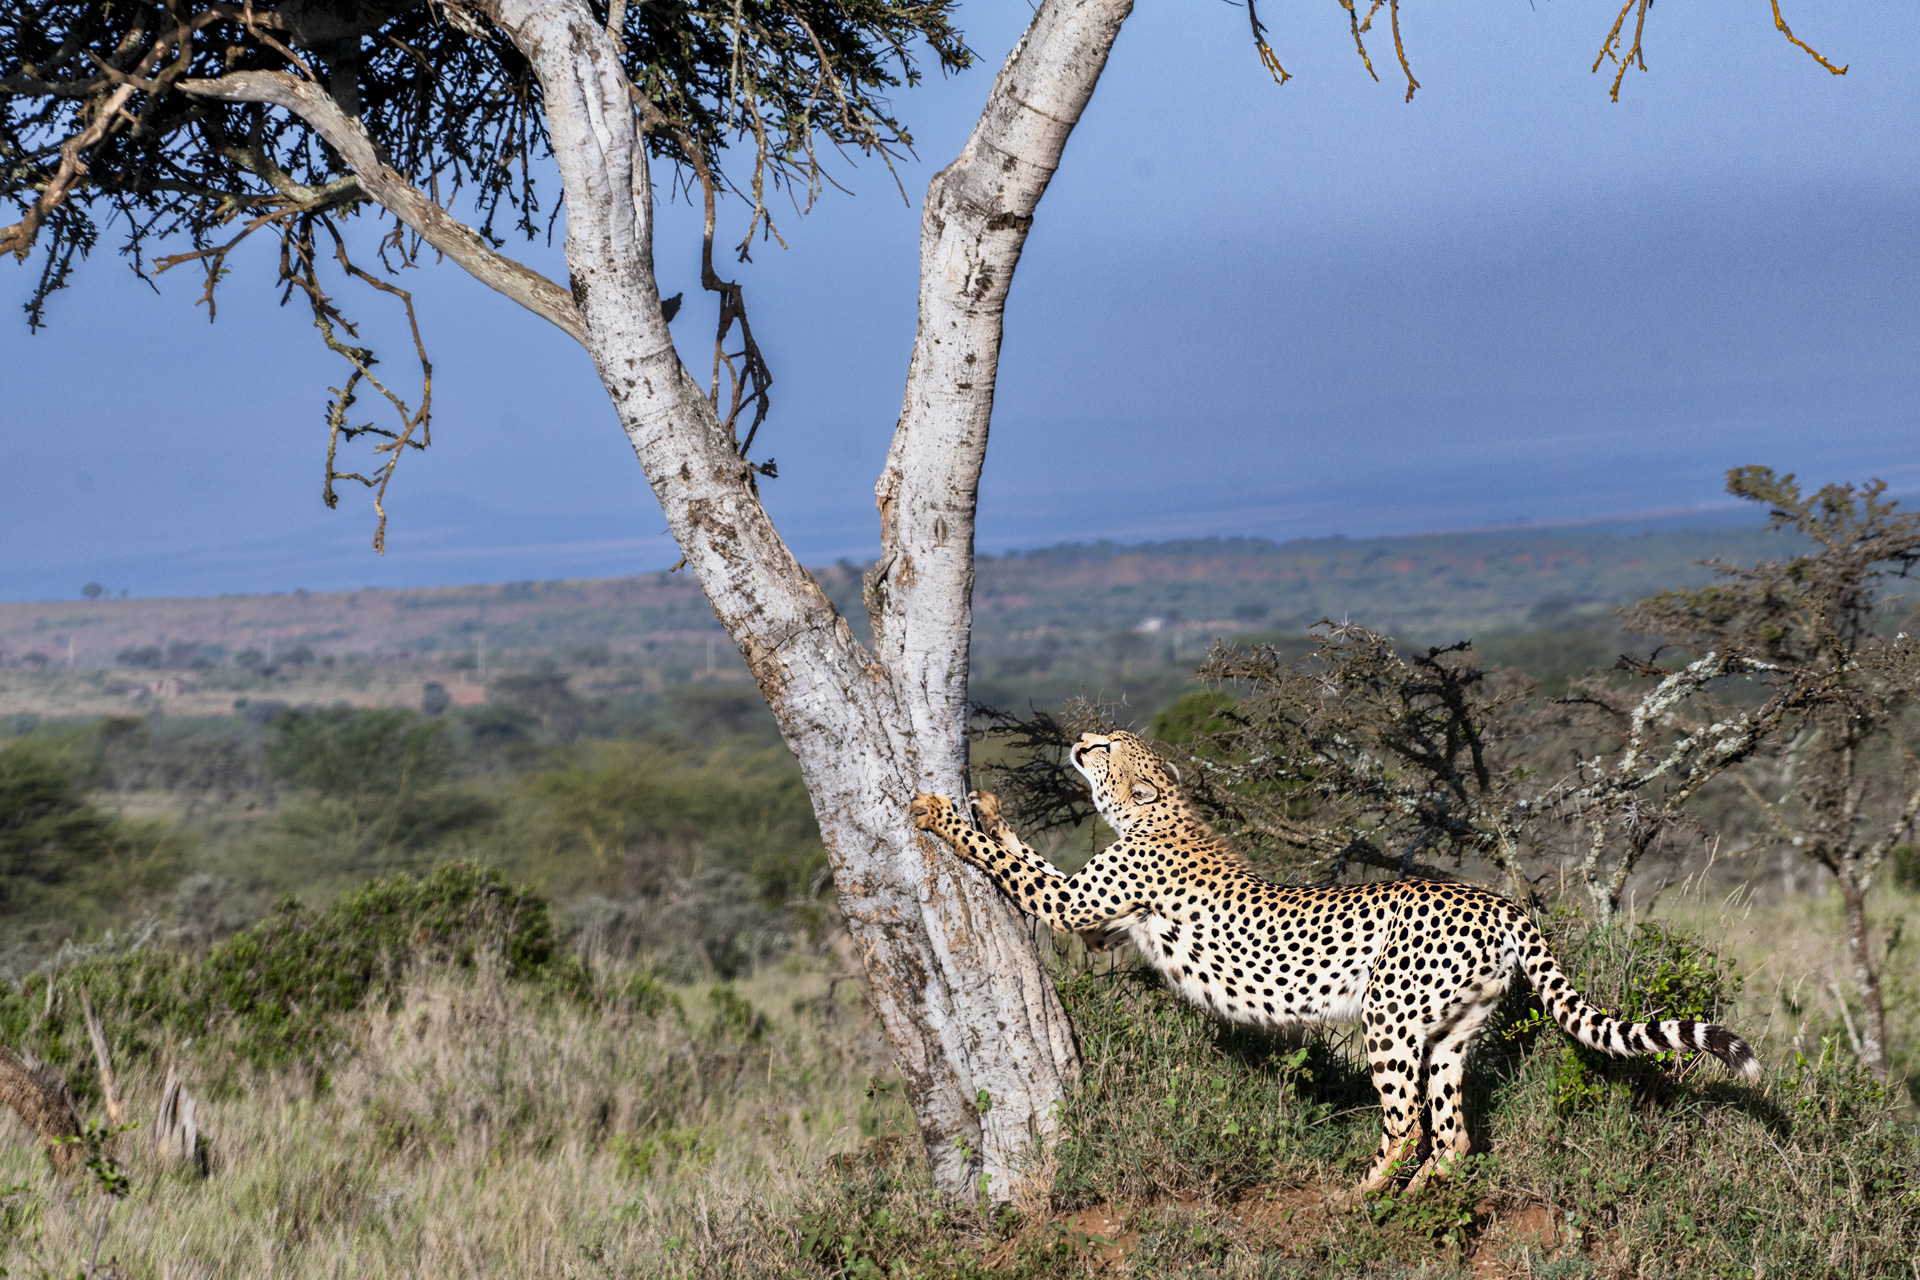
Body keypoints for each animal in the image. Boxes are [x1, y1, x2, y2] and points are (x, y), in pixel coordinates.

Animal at [910, 729, 1760, 1196]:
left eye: (1111, 747)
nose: (1081, 739)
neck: (1160, 811)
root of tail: (1498, 901)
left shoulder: (1078, 903)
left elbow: (1010, 863)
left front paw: (940, 811)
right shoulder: (1100, 926)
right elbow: (1018, 850)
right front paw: (986, 805)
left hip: (1389, 1015)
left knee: (1408, 1124)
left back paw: (1362, 1195)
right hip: (1452, 1029)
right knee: (1453, 1134)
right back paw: (1420, 1195)